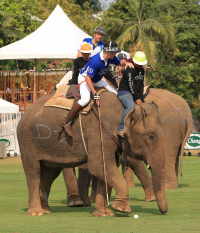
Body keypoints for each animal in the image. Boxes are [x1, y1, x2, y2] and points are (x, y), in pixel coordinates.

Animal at [17, 89, 168, 217]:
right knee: (33, 170)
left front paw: (103, 214)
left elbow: (104, 169)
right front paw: (122, 209)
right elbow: (98, 166)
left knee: (50, 173)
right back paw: (36, 213)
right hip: (27, 140)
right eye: (151, 136)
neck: (125, 109)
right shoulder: (99, 133)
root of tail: (24, 112)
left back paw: (46, 210)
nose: (165, 212)